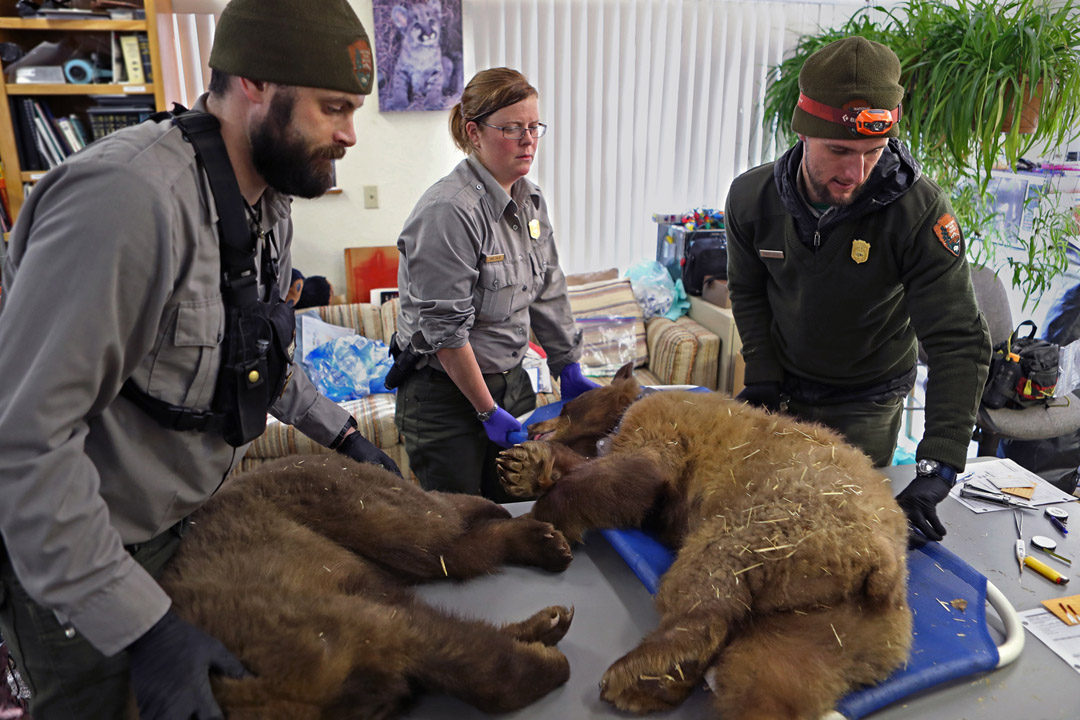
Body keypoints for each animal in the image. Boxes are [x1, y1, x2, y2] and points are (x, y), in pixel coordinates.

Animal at [496, 367, 911, 720]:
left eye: (566, 407)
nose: (530, 426)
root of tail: (880, 562)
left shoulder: (663, 425)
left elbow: (630, 475)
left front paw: (544, 512)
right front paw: (522, 467)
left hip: (775, 518)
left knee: (711, 576)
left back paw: (644, 672)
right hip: (838, 623)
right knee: (774, 674)